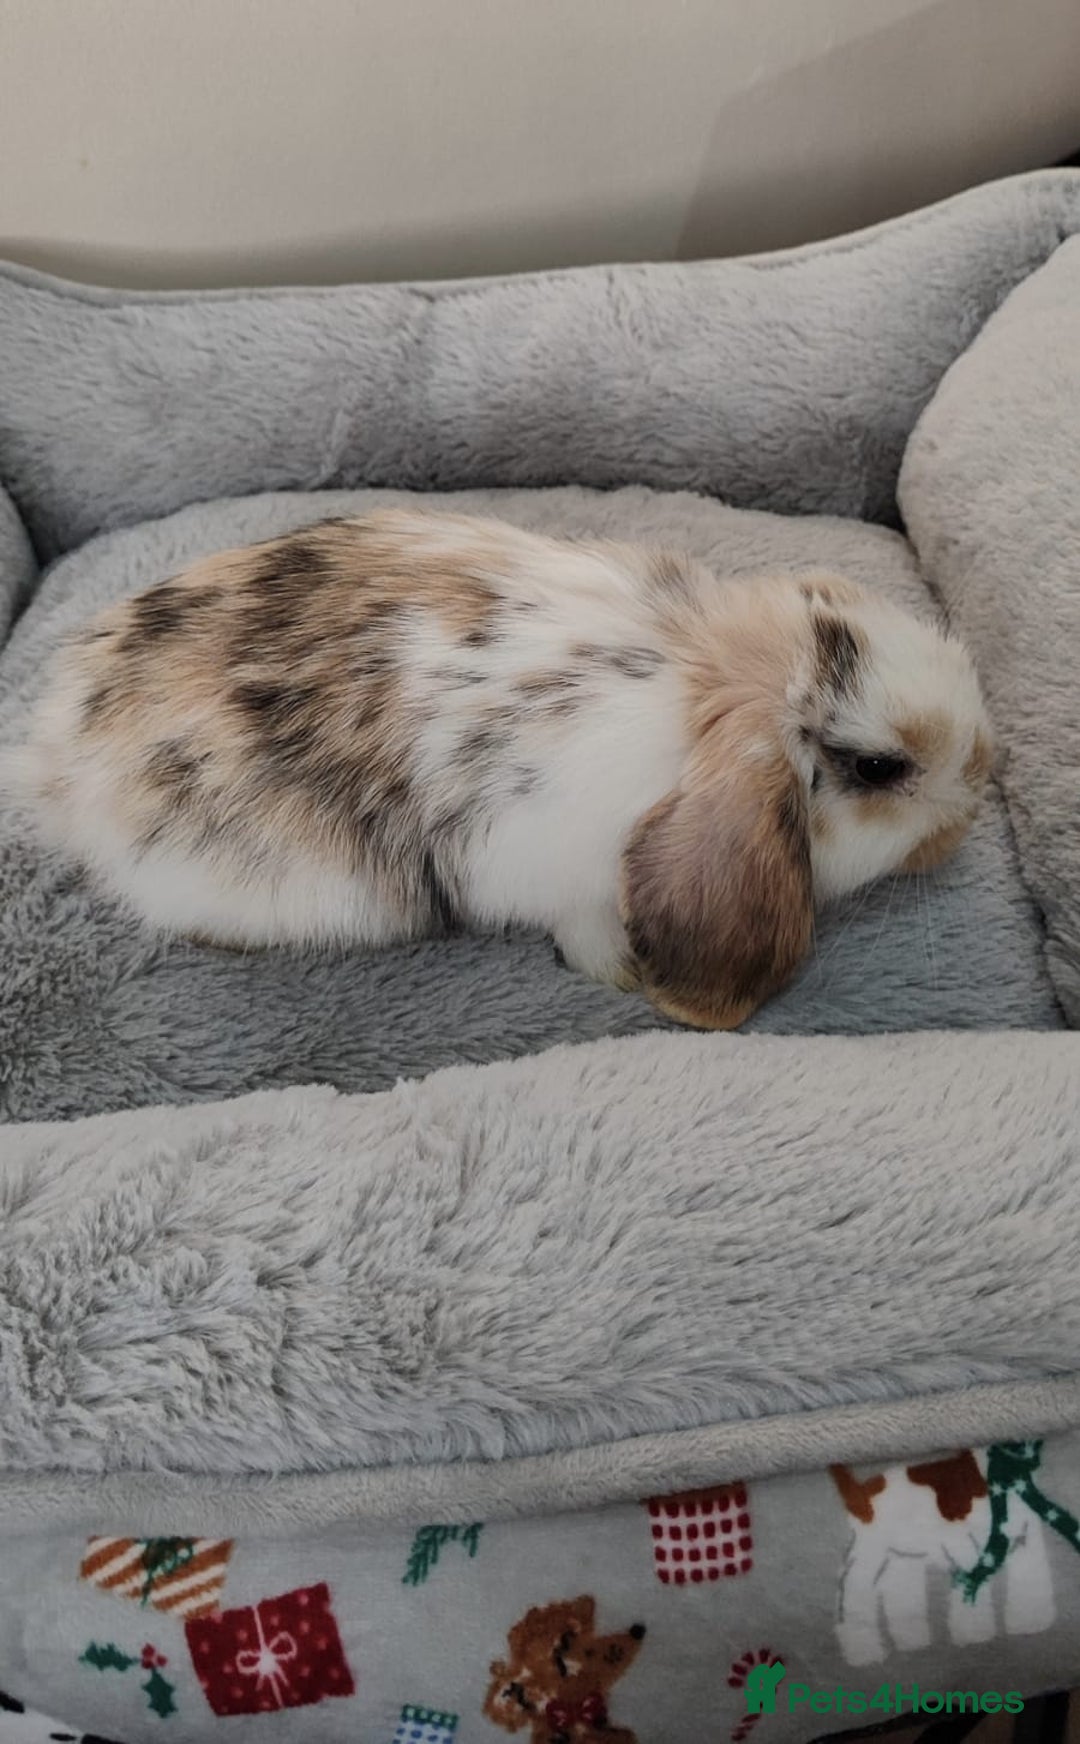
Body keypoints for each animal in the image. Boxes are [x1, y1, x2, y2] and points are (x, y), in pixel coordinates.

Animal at [18, 506, 993, 1029]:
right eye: (877, 767)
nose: (982, 779)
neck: (714, 678)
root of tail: (59, 760)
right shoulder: (572, 883)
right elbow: (590, 939)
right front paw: (625, 979)